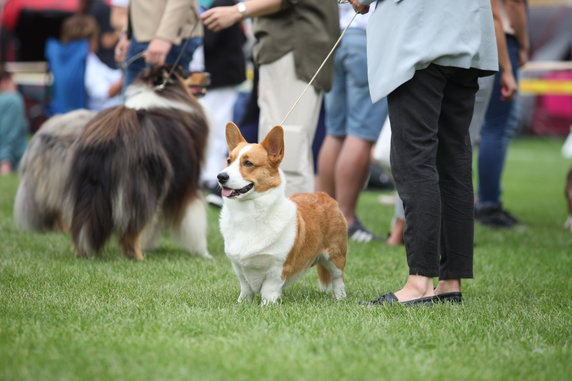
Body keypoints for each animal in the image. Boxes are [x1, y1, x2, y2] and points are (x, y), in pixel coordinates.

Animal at [217, 123, 346, 304]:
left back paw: (340, 298)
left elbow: (269, 290)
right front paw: (242, 304)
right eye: (229, 161)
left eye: (248, 163)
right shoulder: (239, 267)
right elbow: (246, 289)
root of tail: (324, 195)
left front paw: (267, 306)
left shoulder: (276, 268)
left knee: (338, 279)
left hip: (335, 256)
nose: (220, 176)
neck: (249, 212)